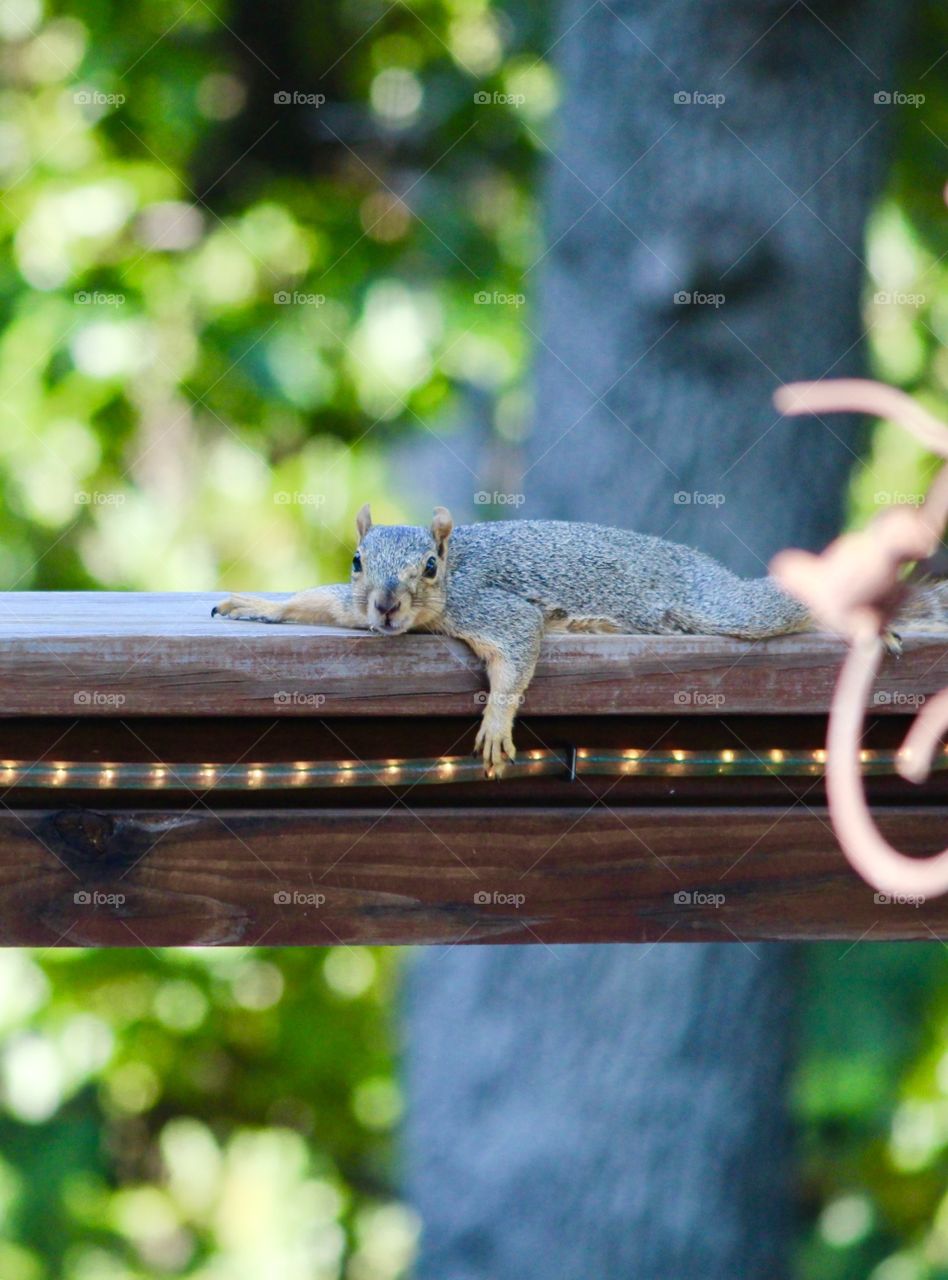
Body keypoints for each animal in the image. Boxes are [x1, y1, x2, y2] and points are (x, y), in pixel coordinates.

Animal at [212, 503, 947, 777]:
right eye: (357, 561)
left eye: (429, 567)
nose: (388, 607)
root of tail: (699, 565)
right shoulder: (349, 605)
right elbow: (312, 604)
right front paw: (252, 606)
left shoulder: (494, 608)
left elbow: (516, 656)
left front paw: (497, 720)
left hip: (717, 604)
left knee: (766, 609)